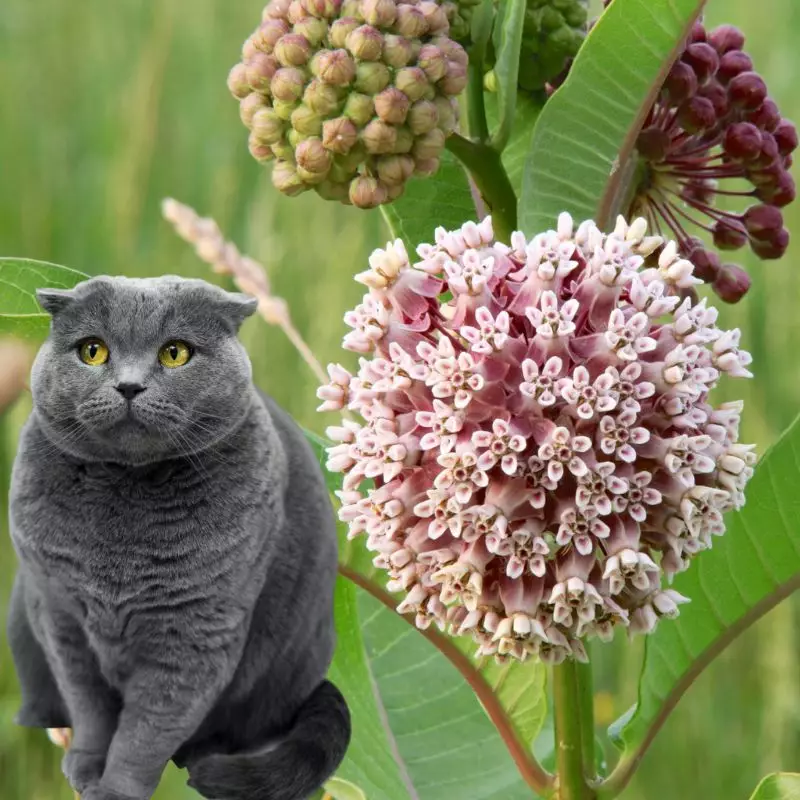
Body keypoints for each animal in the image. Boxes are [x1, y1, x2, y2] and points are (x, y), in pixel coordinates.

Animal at [5, 276, 350, 800]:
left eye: (175, 353)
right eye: (92, 351)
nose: (128, 385)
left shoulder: (194, 633)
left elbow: (146, 731)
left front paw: (115, 790)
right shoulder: (62, 619)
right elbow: (90, 709)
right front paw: (85, 767)